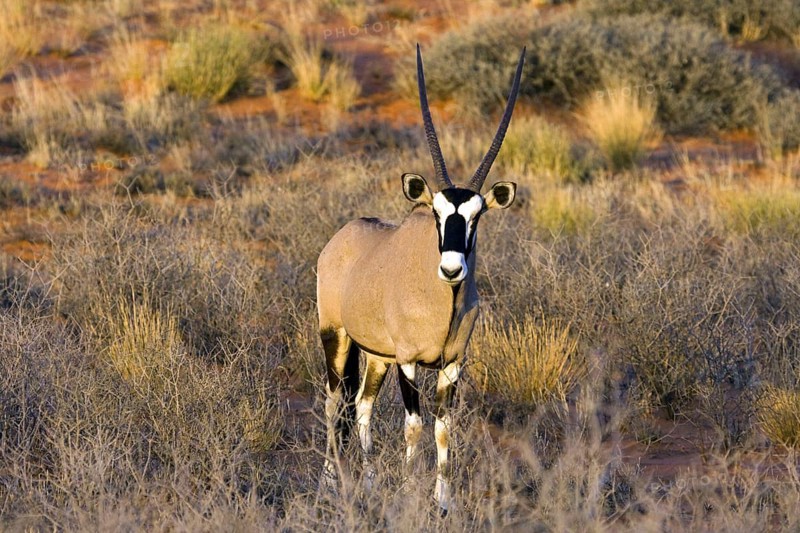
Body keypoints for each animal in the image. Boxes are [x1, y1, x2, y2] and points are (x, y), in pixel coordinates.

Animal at [317, 45, 525, 512]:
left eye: (476, 216)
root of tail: (342, 238)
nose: (451, 270)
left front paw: (443, 501)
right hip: (336, 337)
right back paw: (329, 482)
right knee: (335, 403)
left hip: (377, 356)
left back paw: (369, 483)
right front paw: (412, 494)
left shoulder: (451, 364)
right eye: (435, 213)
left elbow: (442, 427)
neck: (440, 302)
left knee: (361, 407)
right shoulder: (409, 362)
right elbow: (413, 425)